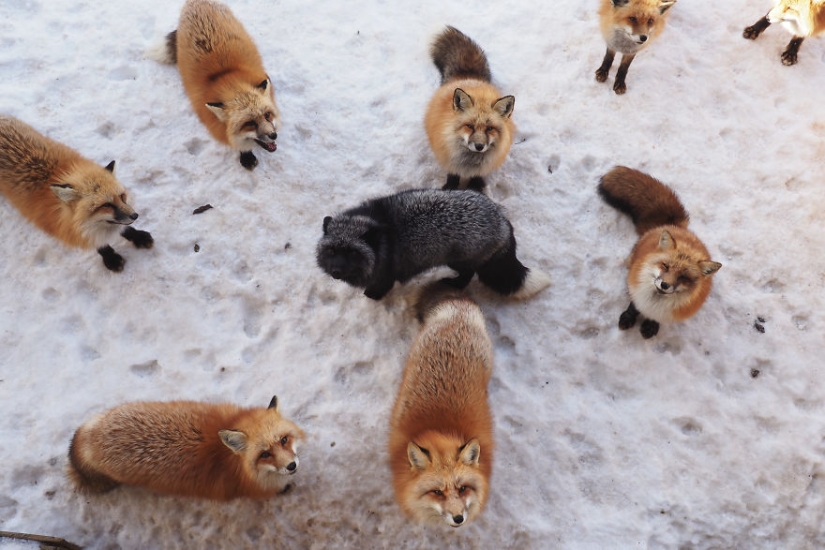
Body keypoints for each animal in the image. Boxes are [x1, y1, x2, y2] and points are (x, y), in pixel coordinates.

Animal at [0, 115, 153, 272]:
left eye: (122, 197)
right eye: (106, 205)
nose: (135, 215)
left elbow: (124, 228)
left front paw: (138, 236)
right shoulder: (71, 228)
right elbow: (97, 243)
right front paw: (111, 258)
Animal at [154, 0, 280, 170]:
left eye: (267, 115)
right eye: (249, 124)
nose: (274, 135)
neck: (226, 76)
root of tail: (196, 2)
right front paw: (246, 155)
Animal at [425, 26, 515, 190]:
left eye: (490, 128)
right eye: (469, 126)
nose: (479, 146)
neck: (470, 162)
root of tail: (468, 76)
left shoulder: (482, 168)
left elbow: (477, 177)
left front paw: (476, 187)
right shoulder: (449, 159)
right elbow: (453, 175)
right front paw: (450, 187)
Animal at [598, 166, 722, 338]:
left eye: (683, 277)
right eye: (665, 266)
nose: (664, 285)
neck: (655, 301)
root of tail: (673, 225)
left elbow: (656, 318)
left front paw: (650, 326)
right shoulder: (637, 291)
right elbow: (633, 306)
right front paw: (628, 318)